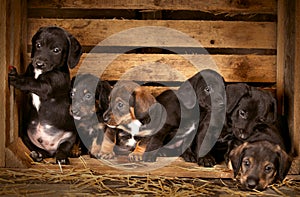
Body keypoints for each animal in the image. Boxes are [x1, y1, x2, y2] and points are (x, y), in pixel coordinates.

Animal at [8, 26, 82, 165]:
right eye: (38, 45)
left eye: (56, 50)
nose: (39, 63)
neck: (40, 72)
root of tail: (51, 148)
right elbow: (29, 79)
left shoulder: (49, 86)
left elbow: (32, 82)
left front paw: (17, 78)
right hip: (26, 135)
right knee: (41, 151)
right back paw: (38, 155)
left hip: (70, 137)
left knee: (63, 148)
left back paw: (62, 159)